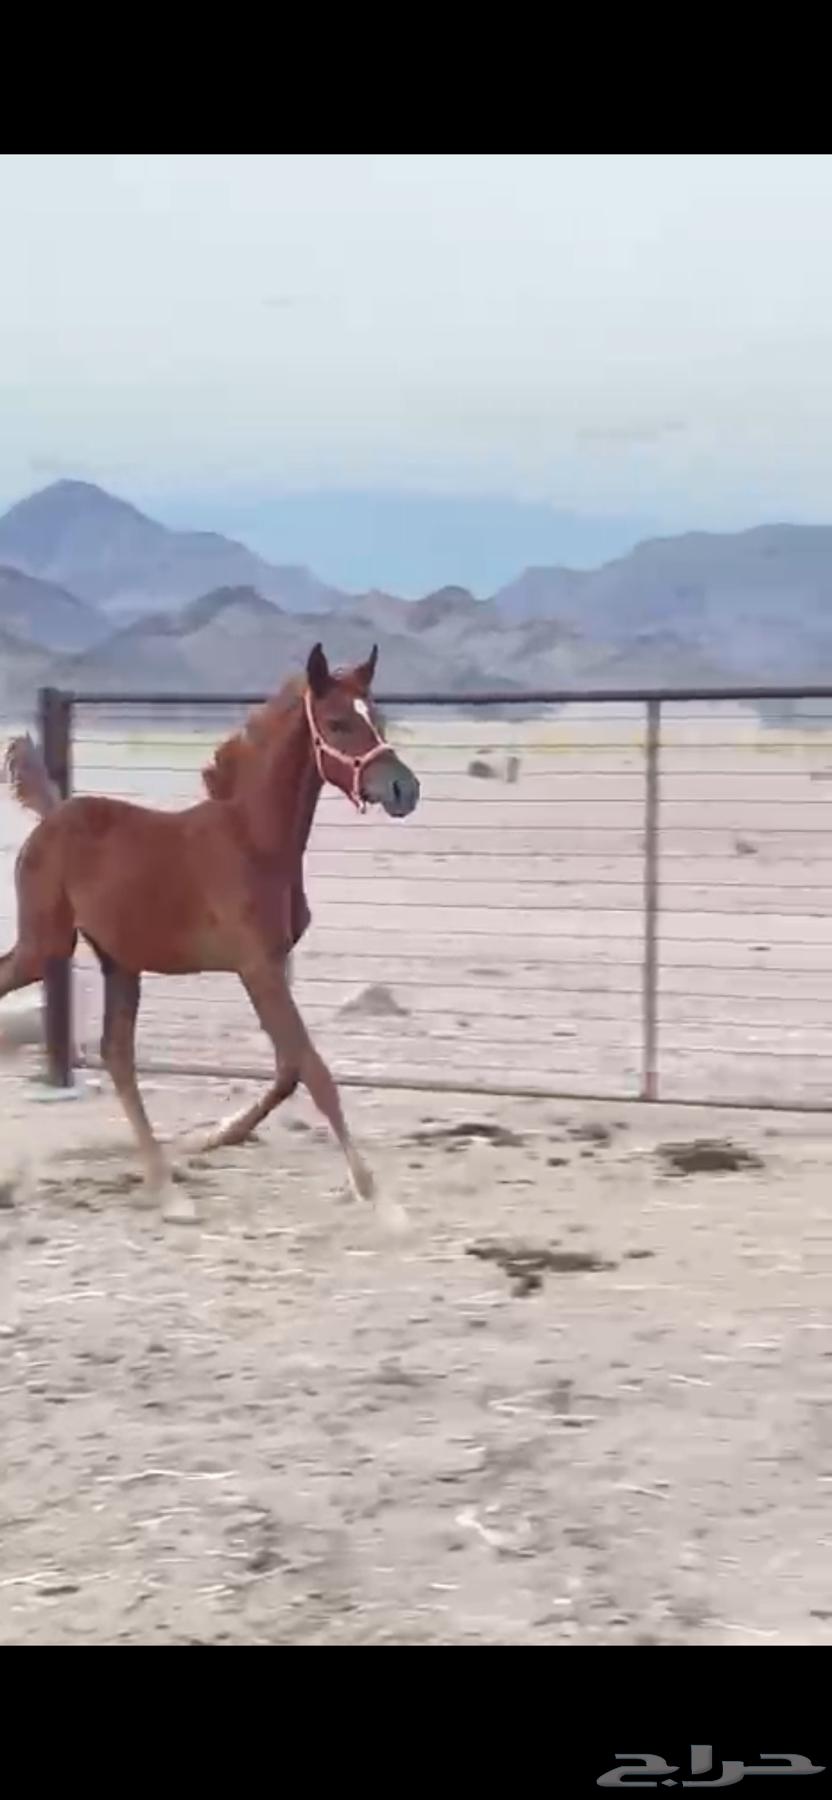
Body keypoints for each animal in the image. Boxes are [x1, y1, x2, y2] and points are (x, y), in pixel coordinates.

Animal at [0, 643, 420, 1228]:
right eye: (338, 723)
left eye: (377, 718)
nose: (405, 789)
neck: (255, 843)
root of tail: (53, 814)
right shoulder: (256, 966)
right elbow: (314, 1071)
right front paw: (379, 1198)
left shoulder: (272, 963)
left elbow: (289, 1069)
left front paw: (213, 1136)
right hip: (46, 946)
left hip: (119, 959)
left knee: (117, 1056)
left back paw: (167, 1189)